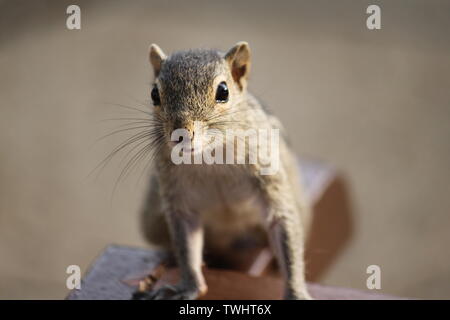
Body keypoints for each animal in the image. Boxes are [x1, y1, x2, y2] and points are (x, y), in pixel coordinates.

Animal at [137, 41, 312, 298]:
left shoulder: (269, 179)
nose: (181, 133)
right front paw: (189, 286)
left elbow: (283, 224)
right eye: (154, 94)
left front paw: (295, 292)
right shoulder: (177, 197)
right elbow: (186, 242)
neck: (211, 156)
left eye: (223, 91)